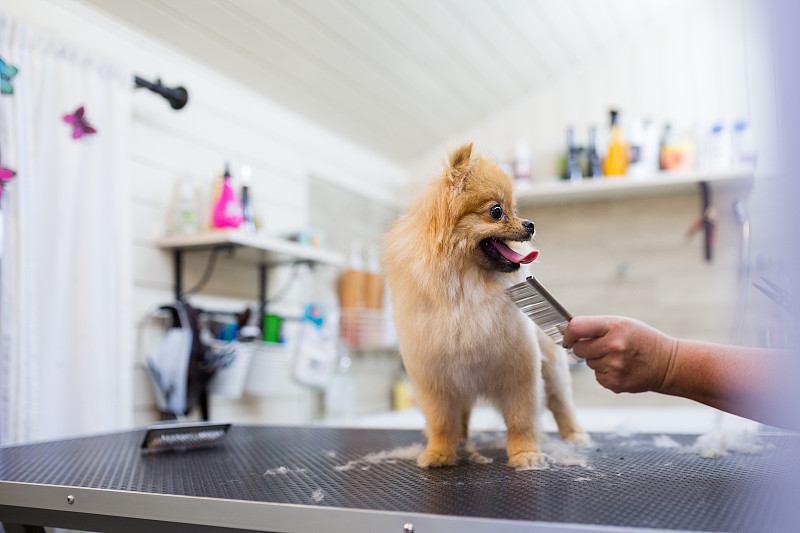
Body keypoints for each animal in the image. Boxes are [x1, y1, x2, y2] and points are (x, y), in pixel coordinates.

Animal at [382, 143, 588, 468]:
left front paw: (525, 454)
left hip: (553, 369)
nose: (530, 224)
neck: (465, 291)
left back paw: (574, 436)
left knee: (562, 404)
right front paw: (439, 452)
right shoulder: (436, 380)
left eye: (515, 210)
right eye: (497, 212)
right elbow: (441, 422)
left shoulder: (517, 372)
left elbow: (521, 418)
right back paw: (460, 438)